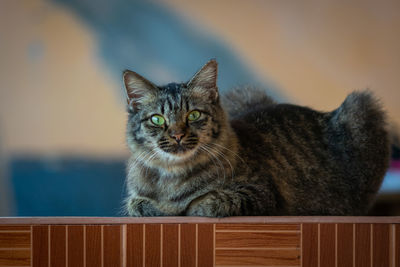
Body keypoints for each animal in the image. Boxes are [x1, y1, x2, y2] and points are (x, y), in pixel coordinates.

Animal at [122, 59, 390, 218]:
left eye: (194, 115)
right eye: (157, 119)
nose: (177, 135)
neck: (171, 176)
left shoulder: (260, 193)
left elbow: (208, 201)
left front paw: (187, 207)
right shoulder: (136, 200)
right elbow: (137, 204)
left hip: (362, 108)